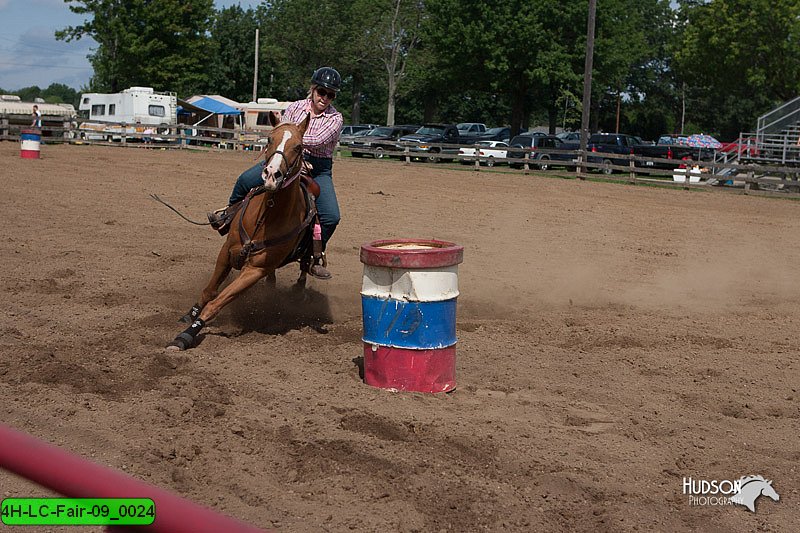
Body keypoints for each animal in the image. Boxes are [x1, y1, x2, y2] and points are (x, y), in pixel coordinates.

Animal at [167, 113, 318, 350]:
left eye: (299, 146)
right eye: (269, 140)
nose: (271, 175)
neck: (268, 215)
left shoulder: (255, 269)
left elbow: (217, 302)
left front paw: (186, 335)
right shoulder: (227, 250)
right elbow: (210, 291)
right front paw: (189, 315)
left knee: (303, 271)